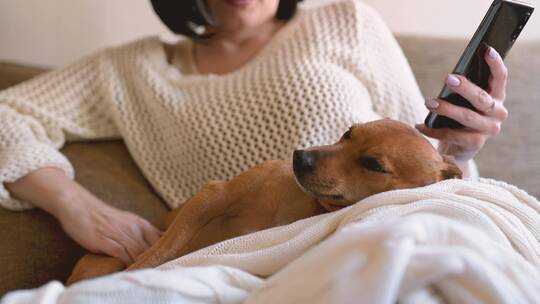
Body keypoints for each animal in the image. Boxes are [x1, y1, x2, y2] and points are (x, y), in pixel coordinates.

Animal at [65, 118, 460, 282]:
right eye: (348, 132)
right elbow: (161, 251)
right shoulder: (213, 194)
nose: (301, 157)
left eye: (373, 164)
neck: (300, 205)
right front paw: (138, 270)